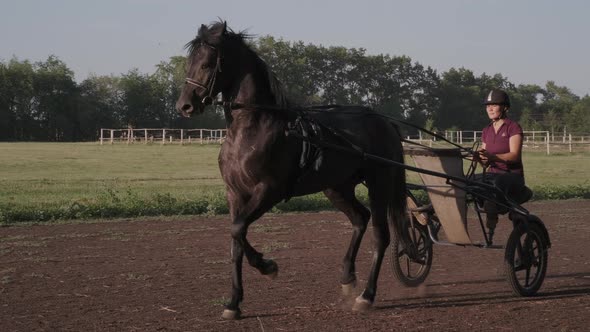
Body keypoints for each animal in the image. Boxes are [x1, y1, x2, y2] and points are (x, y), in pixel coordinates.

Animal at [176, 21, 408, 320]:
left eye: (206, 63)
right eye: (189, 62)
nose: (184, 105)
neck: (252, 129)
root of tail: (383, 121)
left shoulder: (269, 190)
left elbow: (238, 229)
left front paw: (267, 266)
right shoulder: (234, 194)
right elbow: (236, 239)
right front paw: (233, 302)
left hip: (379, 183)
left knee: (381, 236)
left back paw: (366, 296)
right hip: (336, 187)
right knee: (360, 218)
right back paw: (347, 277)